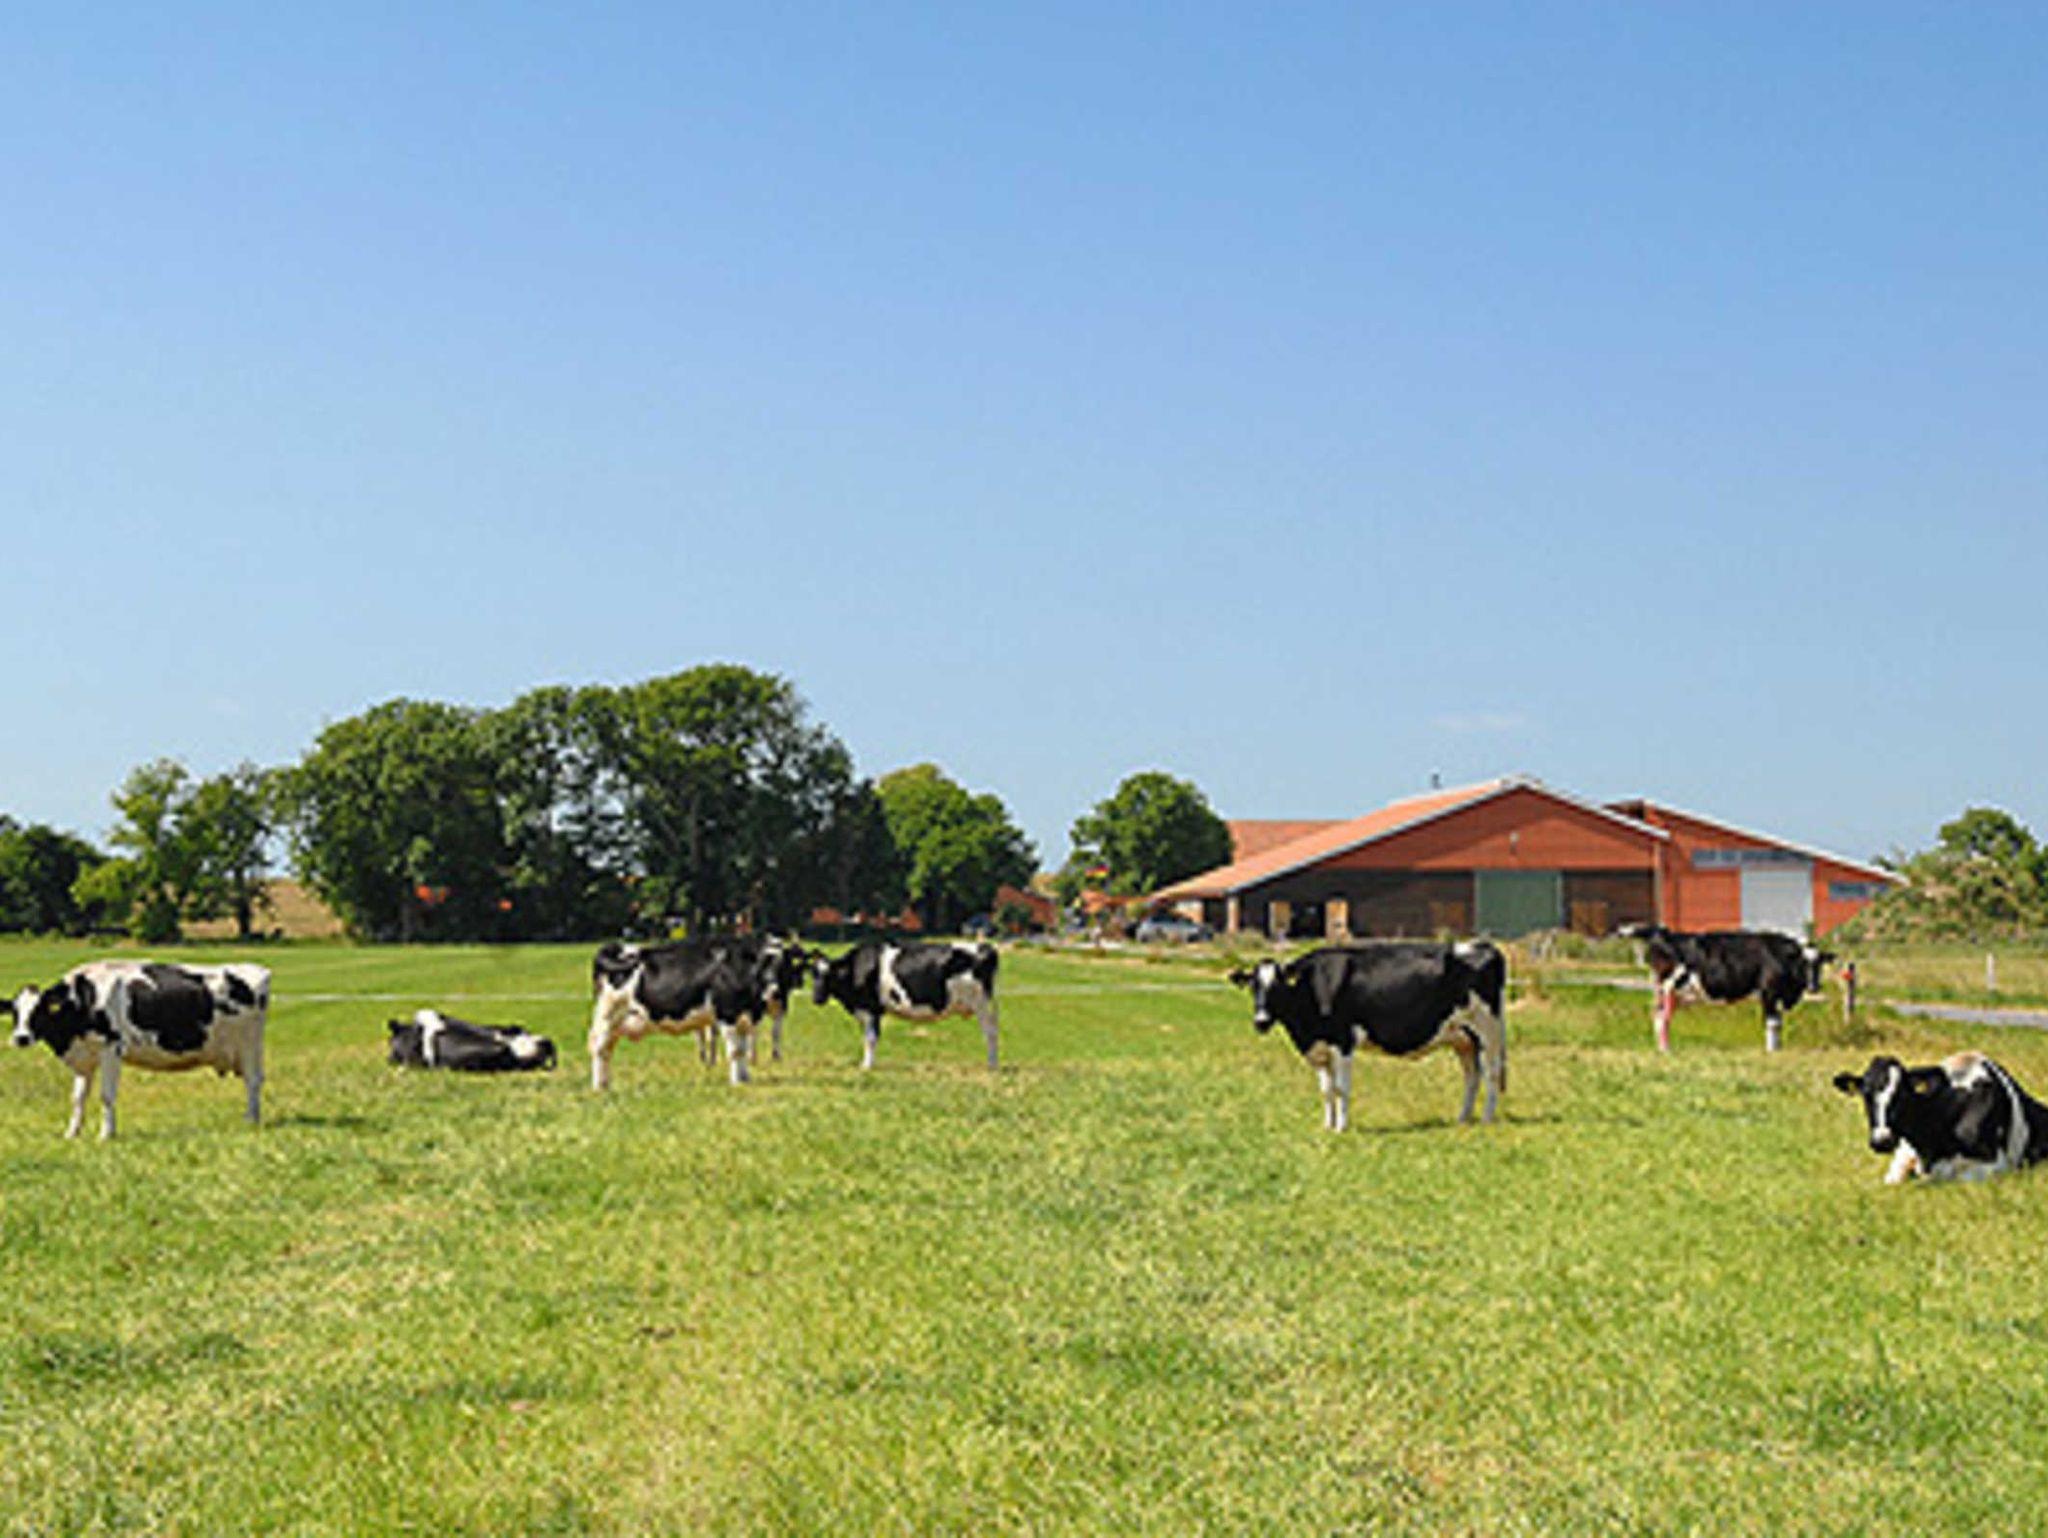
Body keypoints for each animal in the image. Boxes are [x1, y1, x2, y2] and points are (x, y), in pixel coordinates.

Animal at [5, 960, 269, 1139]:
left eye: (40, 1010)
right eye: (15, 1012)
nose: (21, 1038)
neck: (85, 999)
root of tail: (256, 969)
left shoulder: (111, 1047)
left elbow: (106, 1095)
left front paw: (106, 1134)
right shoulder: (84, 1058)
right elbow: (78, 1098)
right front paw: (72, 1133)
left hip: (250, 1045)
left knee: (253, 1081)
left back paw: (251, 1120)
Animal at [587, 935, 783, 1090]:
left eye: (783, 967)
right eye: (764, 965)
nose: (775, 991)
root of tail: (617, 947)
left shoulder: (743, 1019)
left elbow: (742, 1050)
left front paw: (744, 1079)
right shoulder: (727, 1014)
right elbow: (735, 1051)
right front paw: (736, 1082)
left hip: (619, 1021)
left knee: (607, 1050)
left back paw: (605, 1084)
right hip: (608, 1015)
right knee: (599, 1048)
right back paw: (598, 1087)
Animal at [809, 940, 1000, 1071]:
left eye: (828, 975)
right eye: (813, 974)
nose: (816, 999)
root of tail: (984, 947)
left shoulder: (871, 1010)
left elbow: (870, 1038)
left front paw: (866, 1066)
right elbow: (868, 1037)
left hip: (982, 1003)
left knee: (990, 1033)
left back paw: (992, 1065)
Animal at [1227, 941, 1507, 1133]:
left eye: (1277, 987)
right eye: (1253, 987)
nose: (1261, 1021)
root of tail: (1483, 946)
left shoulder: (1342, 1042)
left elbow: (1341, 1088)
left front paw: (1341, 1128)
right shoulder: (1320, 1048)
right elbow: (1326, 1090)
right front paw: (1327, 1126)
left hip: (1488, 1030)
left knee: (1491, 1073)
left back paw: (1487, 1119)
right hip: (1463, 1037)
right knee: (1472, 1076)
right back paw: (1462, 1119)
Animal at [1618, 924, 1832, 1053]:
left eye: (1819, 965)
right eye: (1802, 965)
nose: (1814, 987)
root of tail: (1664, 933)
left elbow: (1778, 1023)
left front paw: (1777, 1049)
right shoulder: (1768, 992)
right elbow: (1772, 1023)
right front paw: (1771, 1051)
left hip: (1670, 992)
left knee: (1660, 1017)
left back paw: (1663, 1049)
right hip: (1669, 987)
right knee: (1662, 1018)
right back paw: (1666, 1050)